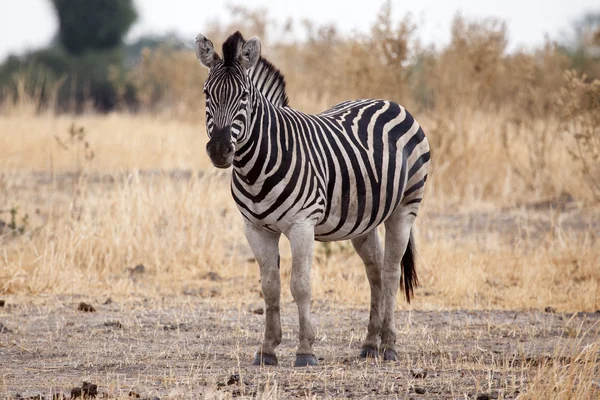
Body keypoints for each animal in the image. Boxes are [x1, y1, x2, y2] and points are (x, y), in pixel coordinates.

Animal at [197, 31, 432, 368]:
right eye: (207, 94)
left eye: (243, 96)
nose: (219, 150)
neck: (256, 166)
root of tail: (390, 102)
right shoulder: (255, 228)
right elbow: (269, 287)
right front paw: (267, 350)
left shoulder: (302, 224)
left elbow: (300, 285)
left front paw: (305, 350)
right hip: (362, 220)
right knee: (374, 271)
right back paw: (369, 344)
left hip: (404, 209)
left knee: (390, 272)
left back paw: (389, 346)